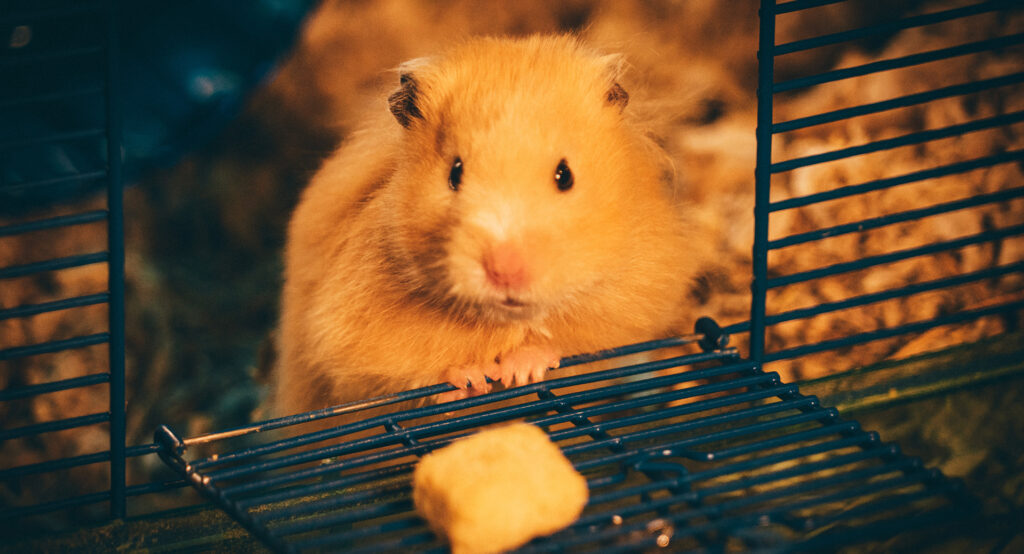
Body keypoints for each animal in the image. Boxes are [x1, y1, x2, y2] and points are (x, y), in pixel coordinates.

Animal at [273, 35, 703, 419]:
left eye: (565, 175)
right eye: (455, 173)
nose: (506, 271)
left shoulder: (637, 296)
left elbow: (572, 339)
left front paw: (519, 371)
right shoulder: (345, 334)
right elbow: (402, 370)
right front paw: (474, 377)